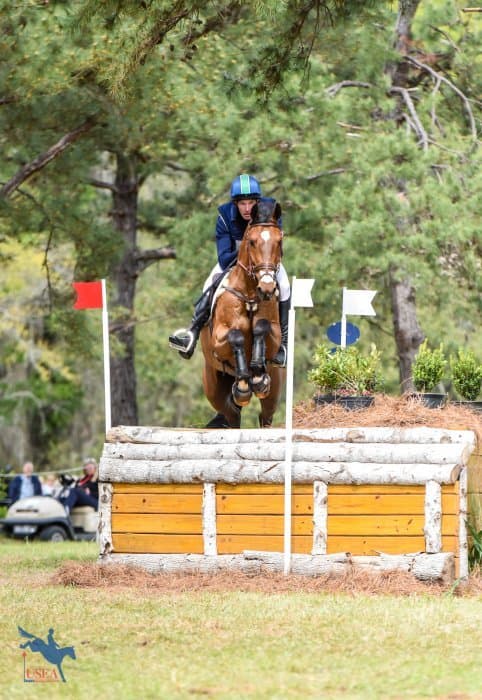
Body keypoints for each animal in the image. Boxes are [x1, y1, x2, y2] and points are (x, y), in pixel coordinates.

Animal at [200, 199, 285, 428]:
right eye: (252, 242)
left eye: (279, 241)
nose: (267, 287)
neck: (249, 295)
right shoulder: (218, 339)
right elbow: (235, 335)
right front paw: (246, 380)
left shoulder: (274, 334)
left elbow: (262, 327)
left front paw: (256, 373)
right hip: (214, 388)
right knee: (231, 416)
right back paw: (242, 388)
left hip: (273, 390)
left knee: (265, 417)